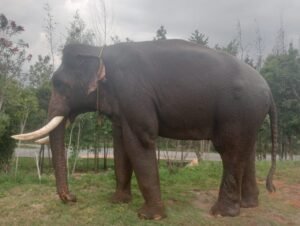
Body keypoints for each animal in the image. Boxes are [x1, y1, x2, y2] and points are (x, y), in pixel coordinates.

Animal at [12, 39, 278, 220]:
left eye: (59, 84)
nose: (72, 198)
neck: (100, 49)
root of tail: (268, 89)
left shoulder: (134, 94)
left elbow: (139, 142)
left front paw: (149, 216)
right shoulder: (122, 105)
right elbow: (119, 145)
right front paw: (117, 201)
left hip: (237, 110)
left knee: (229, 150)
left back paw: (222, 213)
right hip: (248, 115)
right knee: (248, 150)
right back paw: (249, 205)